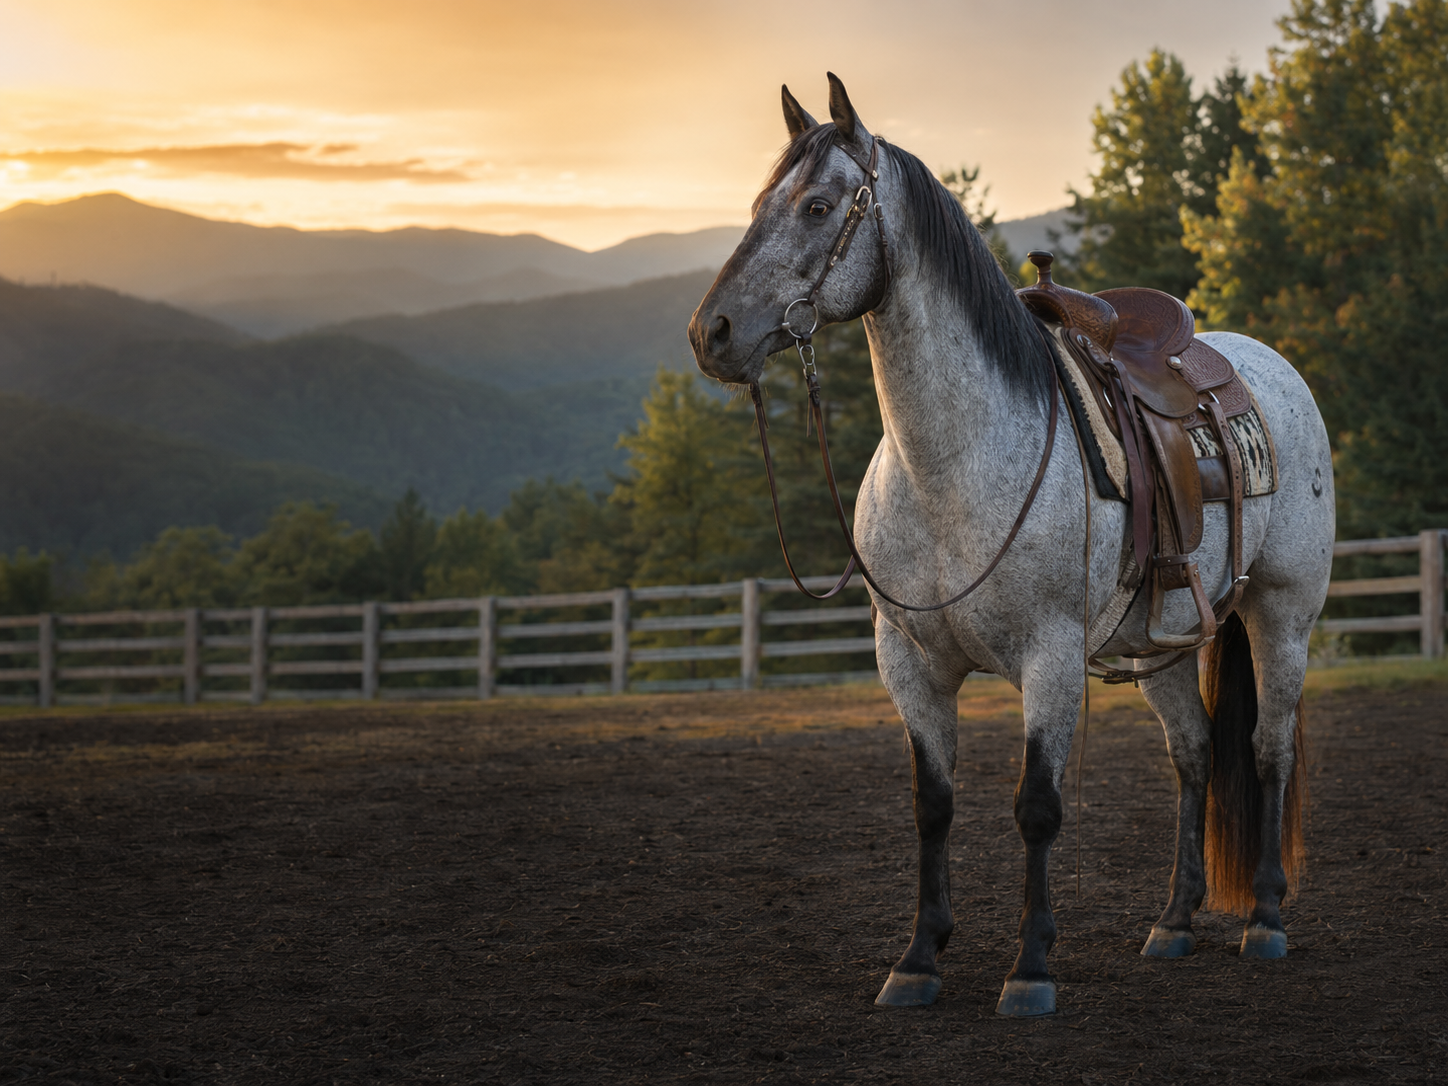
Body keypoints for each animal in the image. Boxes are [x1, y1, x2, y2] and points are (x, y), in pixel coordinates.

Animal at [687, 74, 1334, 1015]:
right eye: (757, 205)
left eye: (816, 206)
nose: (714, 332)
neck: (949, 467)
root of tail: (1267, 366)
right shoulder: (909, 663)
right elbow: (932, 804)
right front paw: (918, 959)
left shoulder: (1051, 656)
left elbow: (1037, 805)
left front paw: (1029, 967)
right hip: (1164, 640)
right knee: (1194, 754)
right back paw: (1174, 921)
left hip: (1280, 614)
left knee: (1266, 750)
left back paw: (1268, 919)